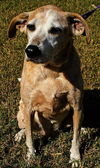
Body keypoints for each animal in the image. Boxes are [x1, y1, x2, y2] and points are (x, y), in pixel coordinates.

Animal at [8, 4, 90, 167]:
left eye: (55, 30)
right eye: (30, 27)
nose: (31, 50)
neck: (51, 71)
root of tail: (53, 131)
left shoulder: (77, 105)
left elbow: (76, 137)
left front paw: (75, 157)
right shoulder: (28, 108)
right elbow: (29, 137)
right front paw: (31, 156)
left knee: (76, 125)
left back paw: (84, 128)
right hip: (21, 110)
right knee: (25, 127)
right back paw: (20, 134)